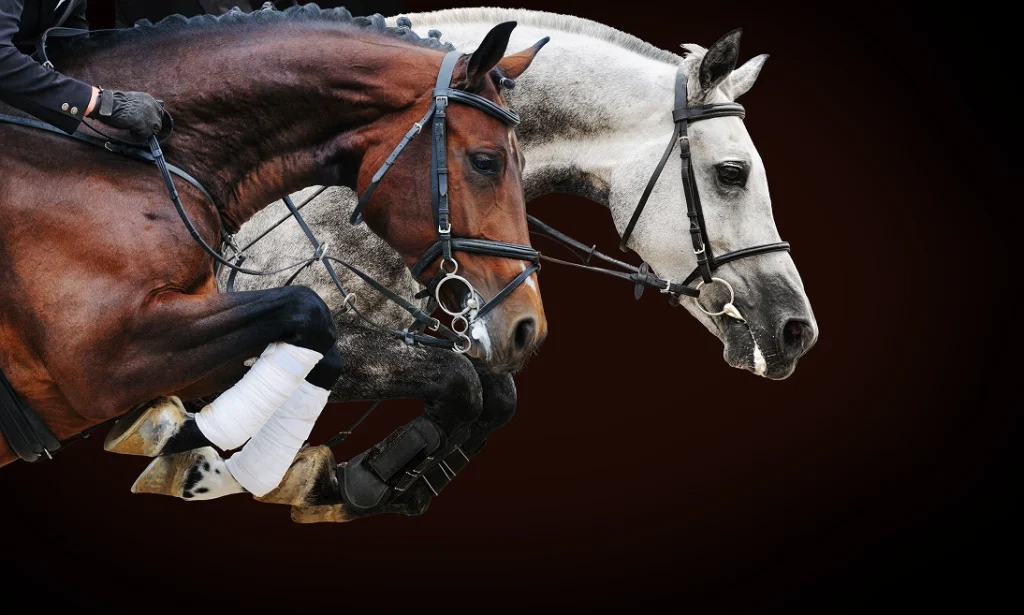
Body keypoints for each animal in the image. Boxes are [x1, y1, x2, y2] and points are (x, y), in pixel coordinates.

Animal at [212, 9, 818, 523]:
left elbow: (491, 390)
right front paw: (341, 480)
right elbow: (461, 380)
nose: (797, 332)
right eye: (732, 174)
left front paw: (375, 482)